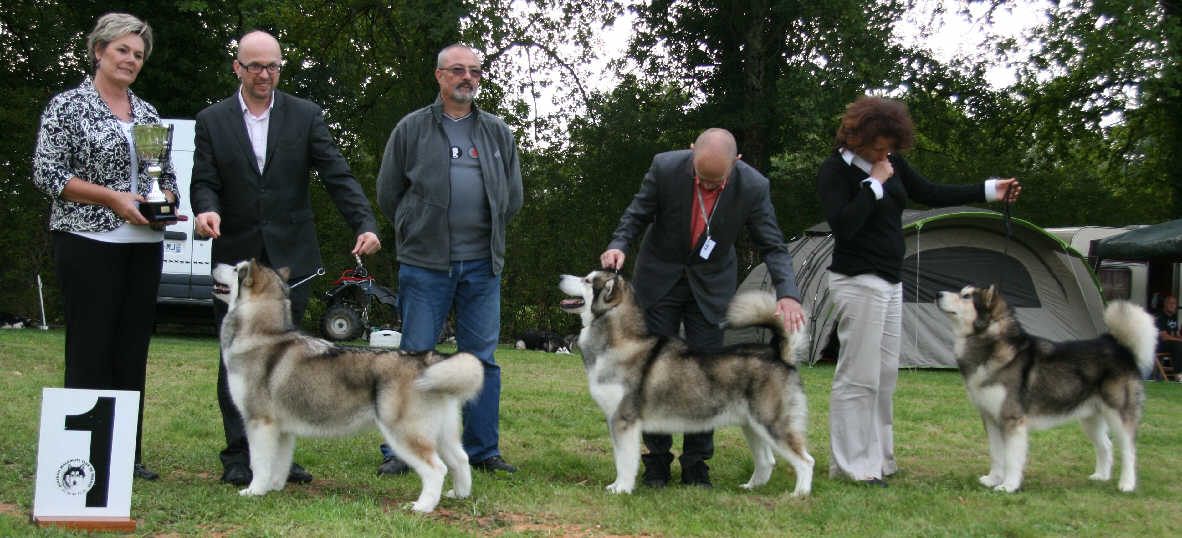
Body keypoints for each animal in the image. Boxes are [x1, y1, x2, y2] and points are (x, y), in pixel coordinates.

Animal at [213, 261, 484, 513]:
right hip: (442, 432)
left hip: (404, 432)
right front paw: (274, 487)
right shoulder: (282, 429)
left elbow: (259, 462)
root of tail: (426, 358)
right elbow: (279, 464)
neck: (263, 334)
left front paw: (254, 491)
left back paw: (423, 506)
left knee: (436, 468)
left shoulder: (259, 422)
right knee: (460, 459)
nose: (215, 264)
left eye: (236, 268)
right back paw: (459, 494)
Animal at [555, 274, 813, 496]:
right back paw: (750, 488)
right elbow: (620, 458)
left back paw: (799, 495)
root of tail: (779, 354)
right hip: (752, 425)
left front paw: (623, 489)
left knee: (806, 461)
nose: (560, 277)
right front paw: (616, 486)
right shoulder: (615, 420)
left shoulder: (624, 420)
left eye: (588, 280)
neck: (620, 342)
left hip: (773, 423)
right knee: (767, 461)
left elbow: (625, 461)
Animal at [936, 286, 1158, 491]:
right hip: (1090, 419)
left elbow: (1011, 458)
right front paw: (993, 479)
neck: (990, 344)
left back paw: (1127, 484)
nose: (938, 294)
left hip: (1119, 415)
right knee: (1106, 446)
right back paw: (1101, 476)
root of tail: (1119, 347)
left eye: (966, 296)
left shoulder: (1012, 419)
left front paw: (1008, 486)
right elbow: (996, 454)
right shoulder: (990, 418)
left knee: (1129, 450)